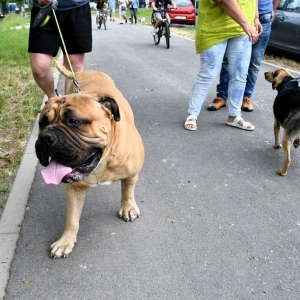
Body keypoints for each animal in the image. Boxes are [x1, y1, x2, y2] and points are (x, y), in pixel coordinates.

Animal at [35, 61, 145, 258]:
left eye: (75, 121)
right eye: (42, 123)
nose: (46, 137)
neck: (102, 162)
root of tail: (83, 72)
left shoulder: (132, 173)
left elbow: (128, 191)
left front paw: (128, 207)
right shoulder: (74, 188)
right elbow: (72, 218)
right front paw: (65, 241)